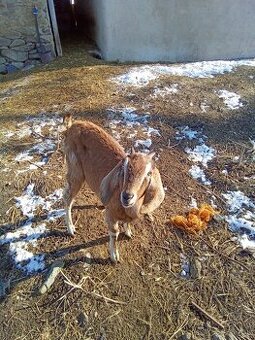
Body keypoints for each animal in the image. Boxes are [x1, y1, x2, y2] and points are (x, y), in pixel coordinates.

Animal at [62, 117, 164, 262]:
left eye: (148, 173)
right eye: (124, 168)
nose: (127, 196)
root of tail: (72, 126)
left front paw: (128, 231)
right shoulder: (110, 215)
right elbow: (114, 233)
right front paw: (114, 256)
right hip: (75, 170)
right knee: (68, 197)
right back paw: (71, 228)